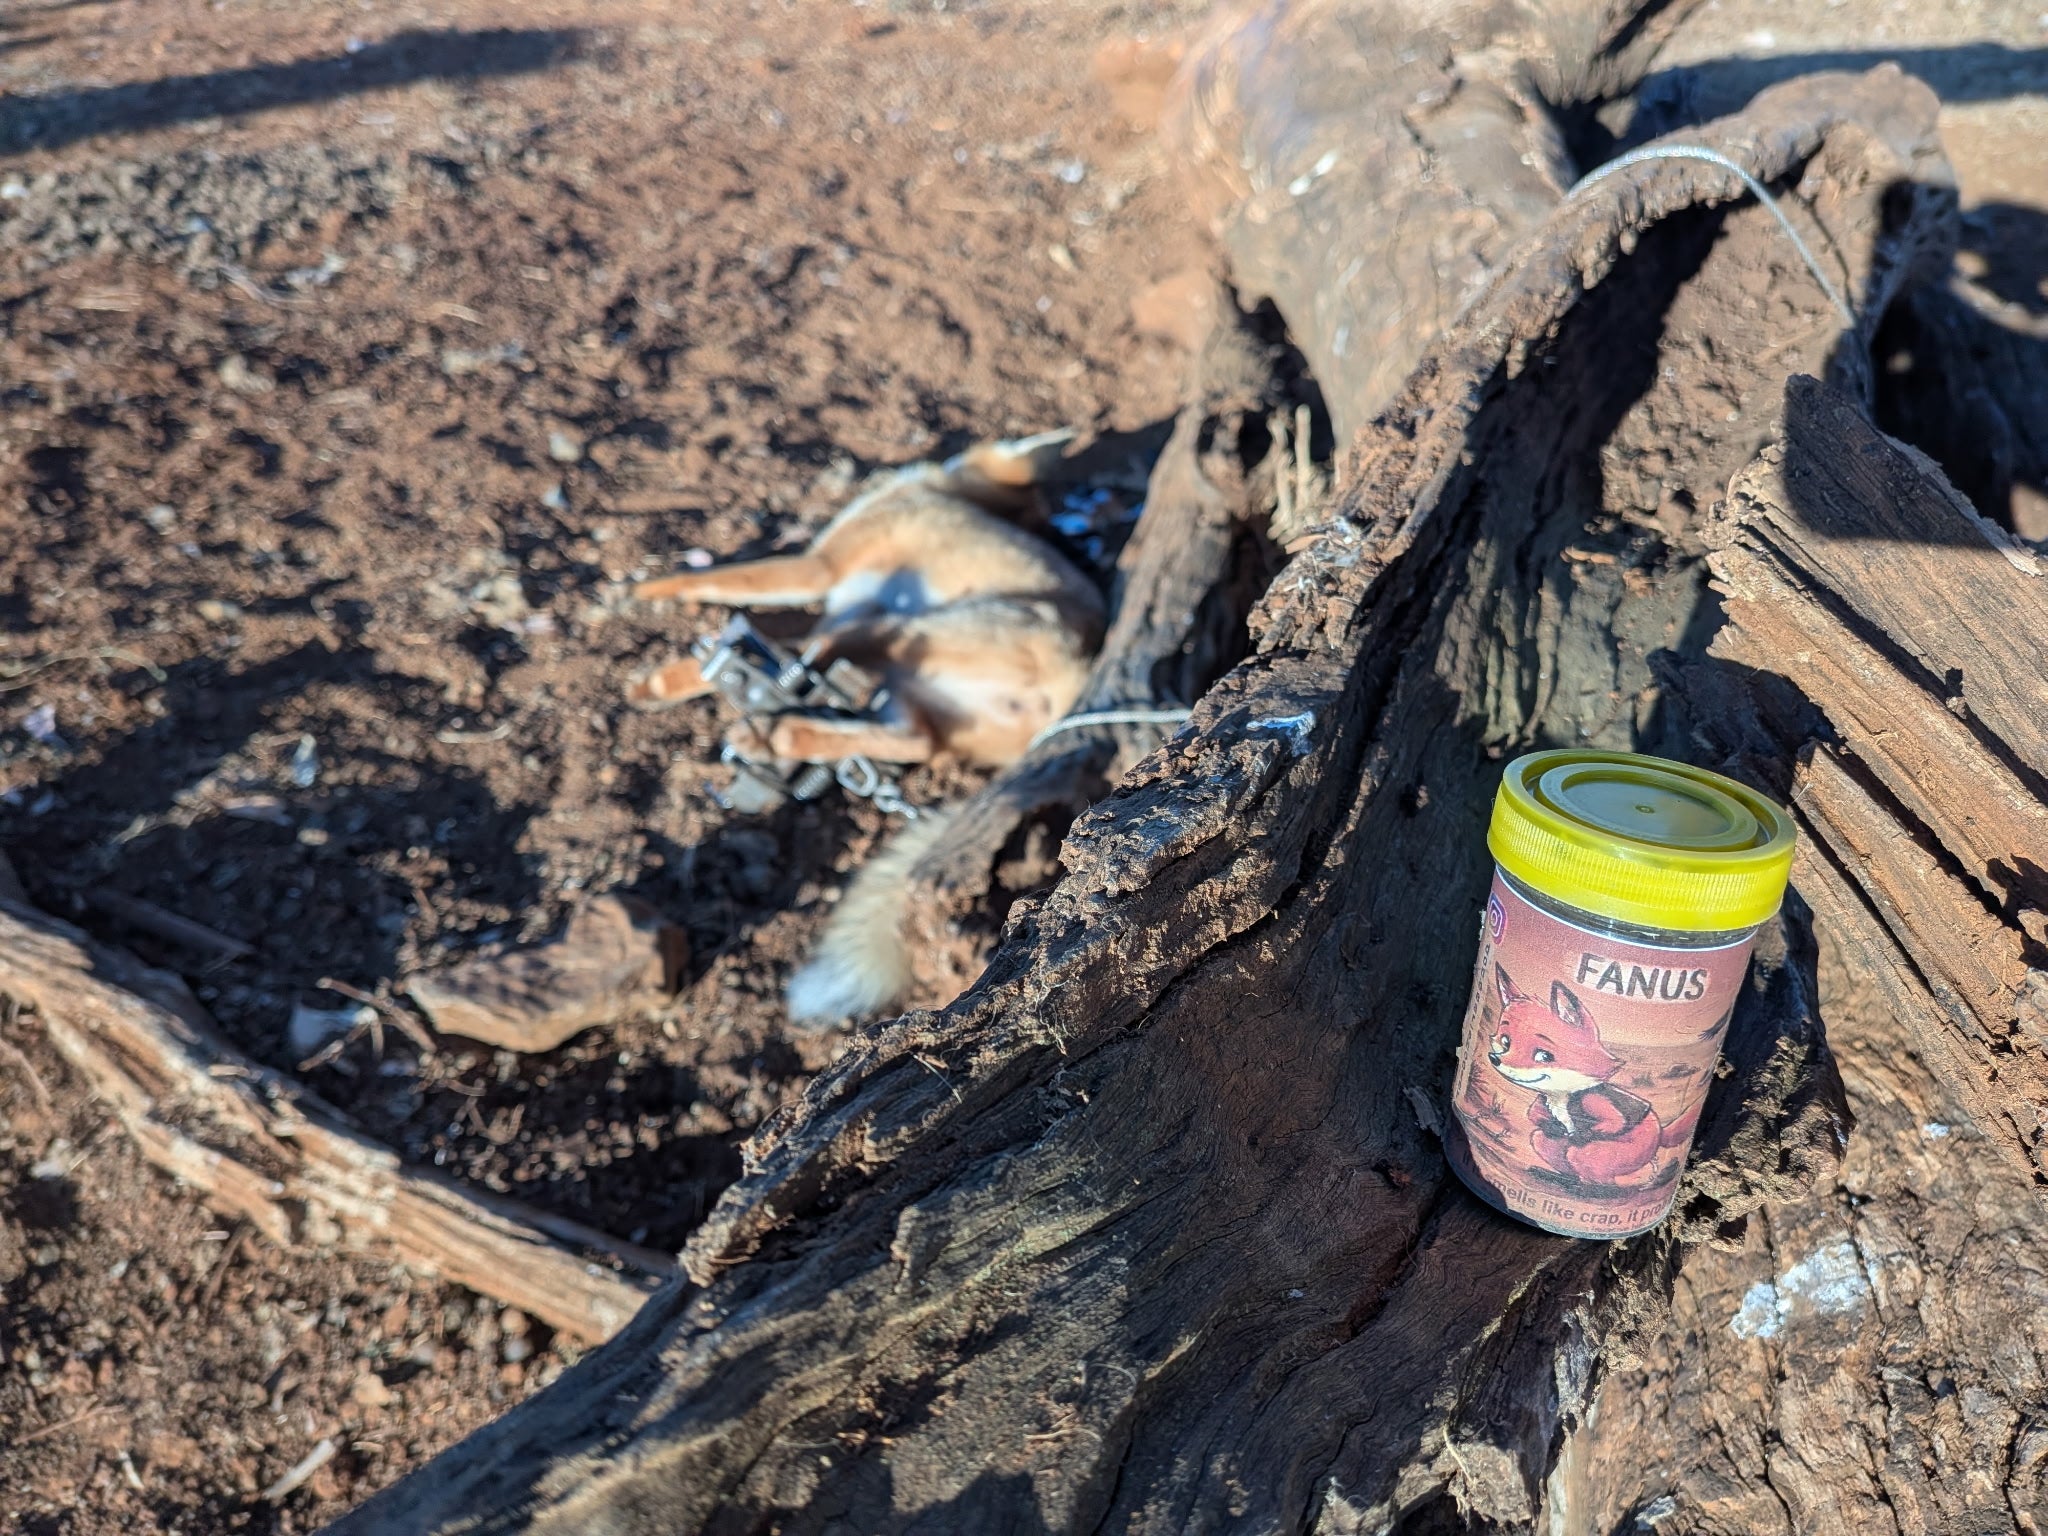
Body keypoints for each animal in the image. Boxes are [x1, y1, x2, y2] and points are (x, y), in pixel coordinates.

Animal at [630, 432, 1106, 1023]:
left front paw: (652, 599)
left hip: (896, 630)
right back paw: (780, 736)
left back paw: (762, 728)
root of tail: (1078, 673)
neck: (955, 492)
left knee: (822, 662)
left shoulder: (820, 568)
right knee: (909, 738)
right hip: (905, 684)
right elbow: (766, 643)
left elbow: (722, 584)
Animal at [1485, 965, 1699, 1190]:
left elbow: (1613, 1121)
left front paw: (1581, 1134)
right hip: (1546, 1143)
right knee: (1546, 1142)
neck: (1561, 1097)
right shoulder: (1544, 1101)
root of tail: (1660, 1133)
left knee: (1596, 1171)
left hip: (1611, 1153)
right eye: (1505, 1041)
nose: (1495, 1059)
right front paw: (1554, 1126)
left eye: (1543, 1056)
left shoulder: (1593, 1100)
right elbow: (1535, 1115)